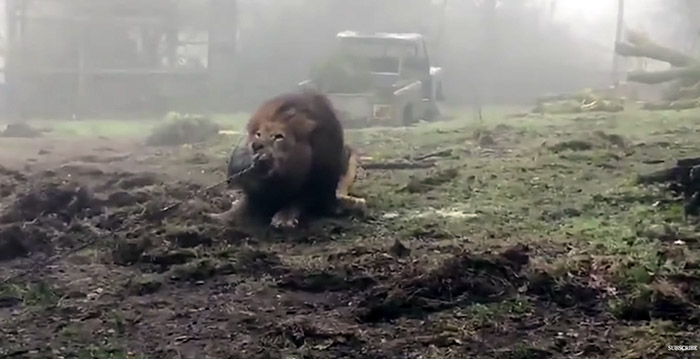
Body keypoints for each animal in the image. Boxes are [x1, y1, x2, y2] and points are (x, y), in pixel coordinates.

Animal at [211, 91, 366, 229]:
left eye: (278, 137)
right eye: (258, 134)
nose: (255, 145)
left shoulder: (314, 186)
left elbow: (297, 202)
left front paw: (283, 219)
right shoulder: (254, 192)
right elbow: (240, 207)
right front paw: (216, 217)